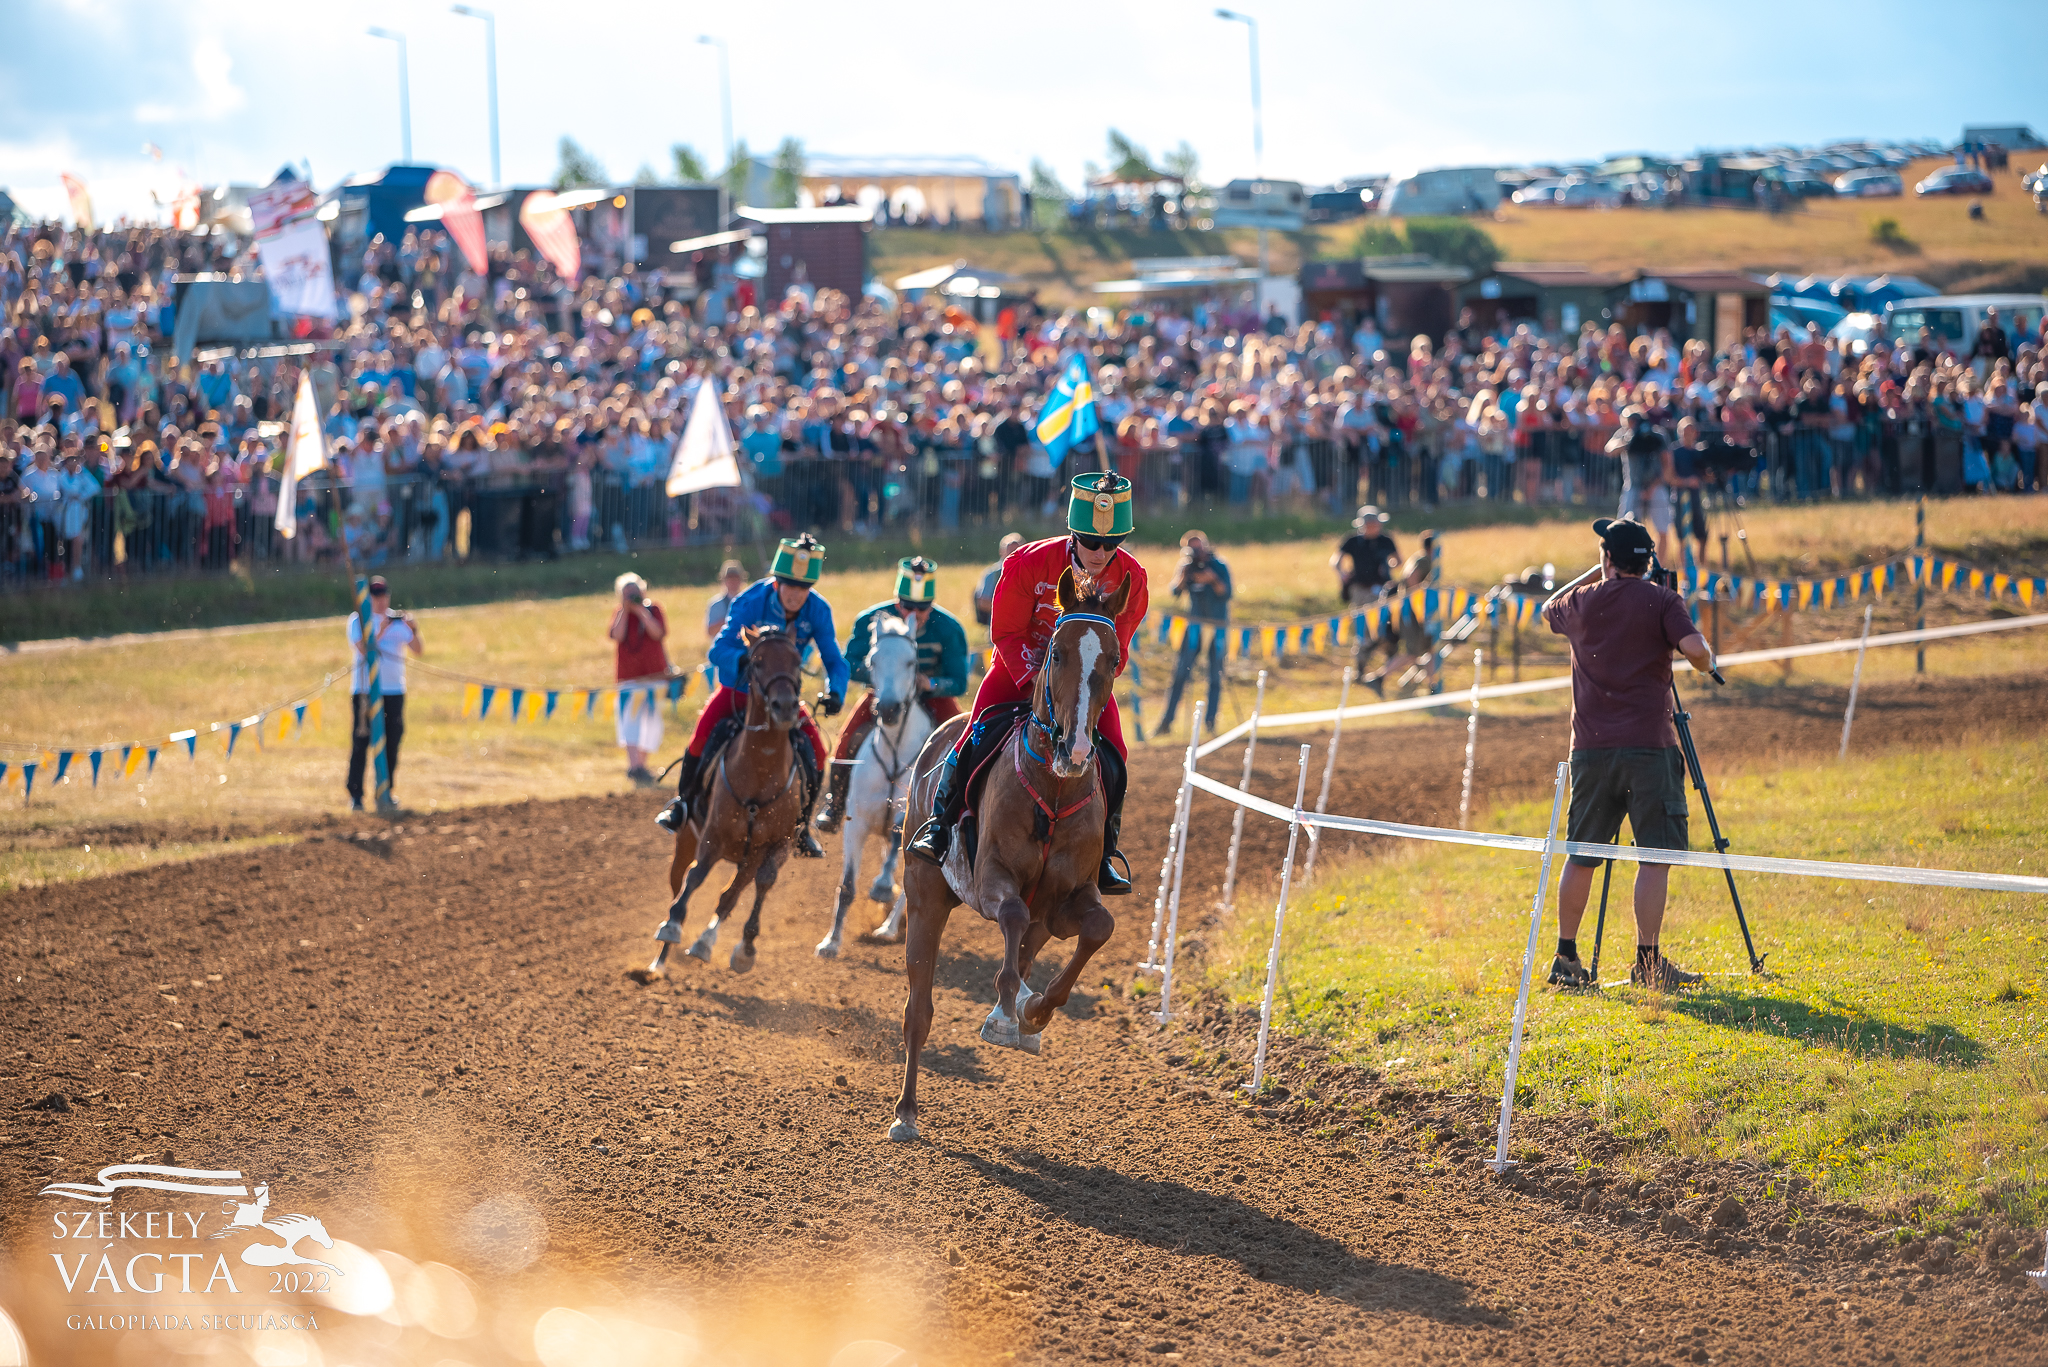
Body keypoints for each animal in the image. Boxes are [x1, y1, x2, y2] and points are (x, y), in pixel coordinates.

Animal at [634, 627, 802, 979]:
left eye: (797, 660)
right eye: (756, 661)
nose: (785, 706)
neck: (761, 768)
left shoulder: (778, 843)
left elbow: (760, 884)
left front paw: (746, 949)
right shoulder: (712, 836)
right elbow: (695, 877)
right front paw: (671, 926)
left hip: (748, 858)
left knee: (730, 895)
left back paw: (704, 943)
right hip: (686, 841)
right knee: (680, 882)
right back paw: (661, 958)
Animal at [819, 614, 937, 959]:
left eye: (911, 661)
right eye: (873, 660)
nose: (889, 709)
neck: (894, 751)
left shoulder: (907, 819)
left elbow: (897, 841)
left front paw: (883, 887)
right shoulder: (855, 824)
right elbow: (847, 886)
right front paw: (831, 942)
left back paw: (888, 928)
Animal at [888, 565, 1130, 1147]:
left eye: (1113, 659)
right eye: (1057, 654)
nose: (1076, 750)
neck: (1056, 790)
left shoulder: (1070, 900)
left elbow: (1099, 928)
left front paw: (1035, 1012)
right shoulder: (991, 879)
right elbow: (1012, 914)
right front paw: (1004, 1013)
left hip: (1046, 915)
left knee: (1029, 948)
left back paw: (1022, 1007)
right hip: (925, 895)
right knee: (918, 1011)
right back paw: (906, 1111)